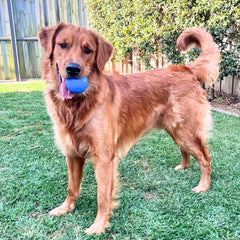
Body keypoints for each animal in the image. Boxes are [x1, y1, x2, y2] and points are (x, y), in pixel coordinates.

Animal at [38, 23, 220, 234]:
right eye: (62, 45)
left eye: (88, 50)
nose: (73, 69)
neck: (79, 103)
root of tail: (185, 68)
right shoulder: (72, 153)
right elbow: (72, 187)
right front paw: (66, 208)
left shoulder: (104, 158)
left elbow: (102, 196)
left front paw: (99, 226)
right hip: (176, 130)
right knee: (185, 150)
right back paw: (183, 167)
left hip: (186, 131)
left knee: (205, 159)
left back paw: (203, 186)